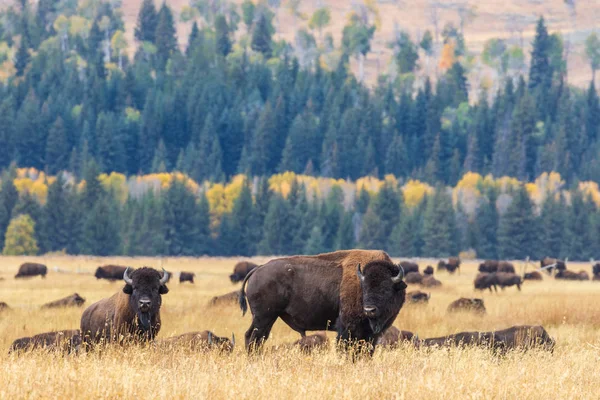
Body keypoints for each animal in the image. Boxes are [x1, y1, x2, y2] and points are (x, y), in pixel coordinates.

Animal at [239, 250, 408, 356]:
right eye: (364, 287)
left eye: (386, 289)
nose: (369, 310)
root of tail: (258, 269)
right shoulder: (348, 328)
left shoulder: (371, 334)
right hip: (263, 317)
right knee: (252, 337)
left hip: (268, 318)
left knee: (259, 338)